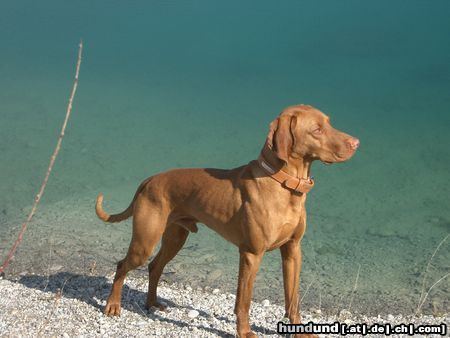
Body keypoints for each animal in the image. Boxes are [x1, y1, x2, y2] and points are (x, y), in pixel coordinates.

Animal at [95, 104, 358, 336]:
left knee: (155, 267)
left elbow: (293, 300)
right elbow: (244, 301)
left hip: (176, 237)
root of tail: (150, 179)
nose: (356, 143)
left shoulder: (293, 250)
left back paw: (152, 303)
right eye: (317, 130)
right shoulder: (251, 254)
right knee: (122, 265)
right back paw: (113, 305)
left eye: (329, 123)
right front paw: (244, 332)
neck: (283, 184)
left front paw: (301, 333)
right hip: (145, 241)